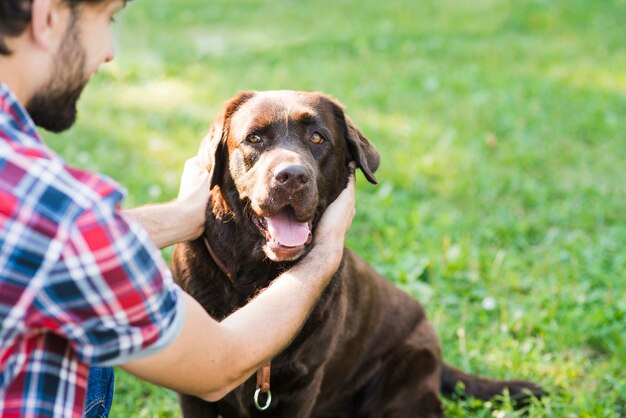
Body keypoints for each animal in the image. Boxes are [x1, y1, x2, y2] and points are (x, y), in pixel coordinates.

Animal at [171, 90, 540, 416]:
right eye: (254, 138)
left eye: (317, 138)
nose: (292, 176)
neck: (256, 281)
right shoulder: (194, 397)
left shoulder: (301, 388)